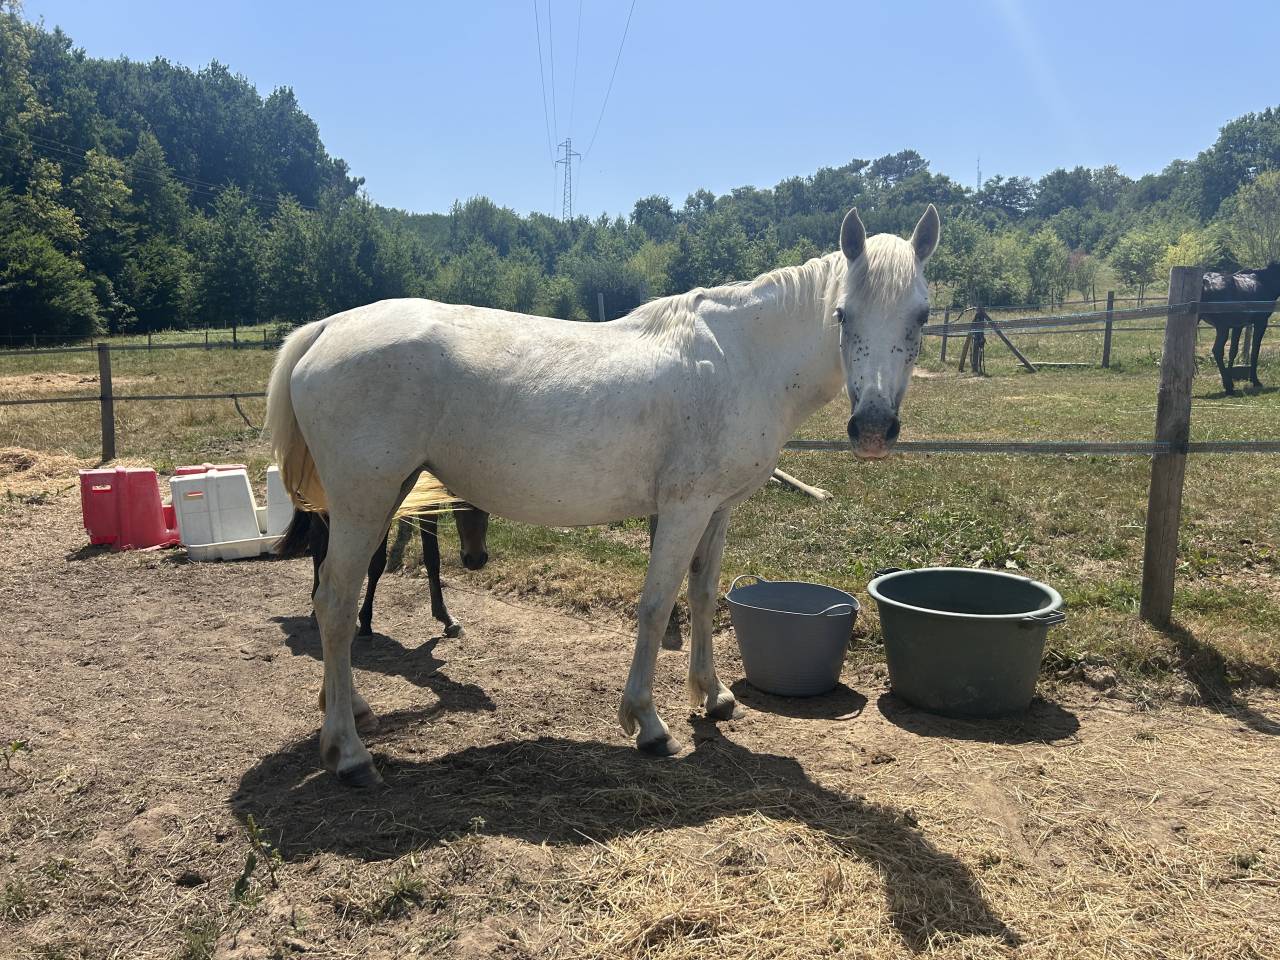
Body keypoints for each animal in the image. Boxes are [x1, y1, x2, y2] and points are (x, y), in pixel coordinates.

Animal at [277, 501, 490, 639]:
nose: (475, 559)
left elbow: (432, 558)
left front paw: (446, 618)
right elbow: (377, 563)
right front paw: (365, 620)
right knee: (317, 538)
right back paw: (317, 606)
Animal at [1201, 263, 1280, 394]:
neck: (1264, 281)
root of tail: (1206, 281)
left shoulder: (1238, 326)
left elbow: (1233, 351)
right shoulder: (1260, 323)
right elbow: (1255, 351)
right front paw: (1255, 381)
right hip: (1222, 328)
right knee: (1217, 350)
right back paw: (1228, 387)